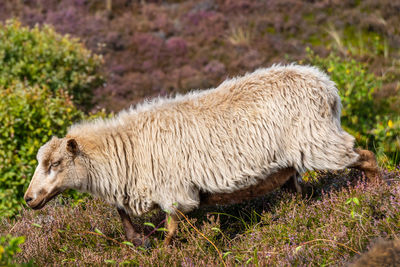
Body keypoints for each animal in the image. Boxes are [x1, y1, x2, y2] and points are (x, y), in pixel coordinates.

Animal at [23, 65, 380, 247]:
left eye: (54, 164)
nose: (28, 199)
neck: (125, 150)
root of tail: (327, 86)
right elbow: (124, 214)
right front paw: (137, 239)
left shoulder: (173, 190)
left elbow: (171, 229)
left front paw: (164, 251)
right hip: (297, 158)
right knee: (303, 191)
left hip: (318, 140)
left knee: (363, 155)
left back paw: (377, 192)